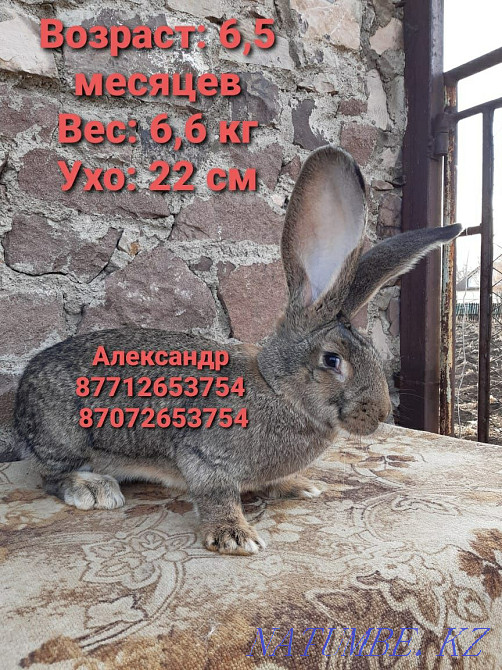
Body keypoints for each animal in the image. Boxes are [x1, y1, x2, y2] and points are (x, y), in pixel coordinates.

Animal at [14, 145, 462, 556]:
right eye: (333, 360)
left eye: (370, 347)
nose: (381, 414)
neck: (278, 390)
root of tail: (21, 396)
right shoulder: (204, 457)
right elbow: (216, 495)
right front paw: (235, 536)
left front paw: (298, 486)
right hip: (66, 436)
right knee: (49, 476)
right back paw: (94, 489)